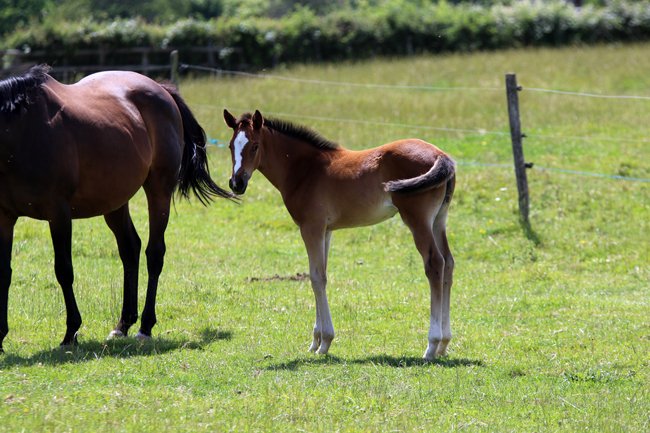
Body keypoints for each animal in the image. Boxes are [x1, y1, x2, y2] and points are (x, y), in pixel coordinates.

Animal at [0, 65, 234, 352]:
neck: (22, 133)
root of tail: (161, 90)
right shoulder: (4, 217)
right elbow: (5, 272)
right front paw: (0, 337)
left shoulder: (59, 214)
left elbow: (64, 270)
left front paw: (71, 332)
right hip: (114, 201)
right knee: (130, 248)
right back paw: (123, 324)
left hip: (159, 190)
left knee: (154, 253)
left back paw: (145, 326)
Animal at [223, 109, 456, 360]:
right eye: (230, 146)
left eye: (255, 146)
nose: (236, 183)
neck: (305, 169)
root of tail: (441, 155)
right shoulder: (325, 231)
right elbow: (321, 274)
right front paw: (316, 341)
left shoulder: (311, 227)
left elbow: (316, 277)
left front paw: (325, 342)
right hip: (439, 220)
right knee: (448, 264)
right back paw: (444, 344)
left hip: (418, 220)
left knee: (435, 264)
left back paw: (432, 345)